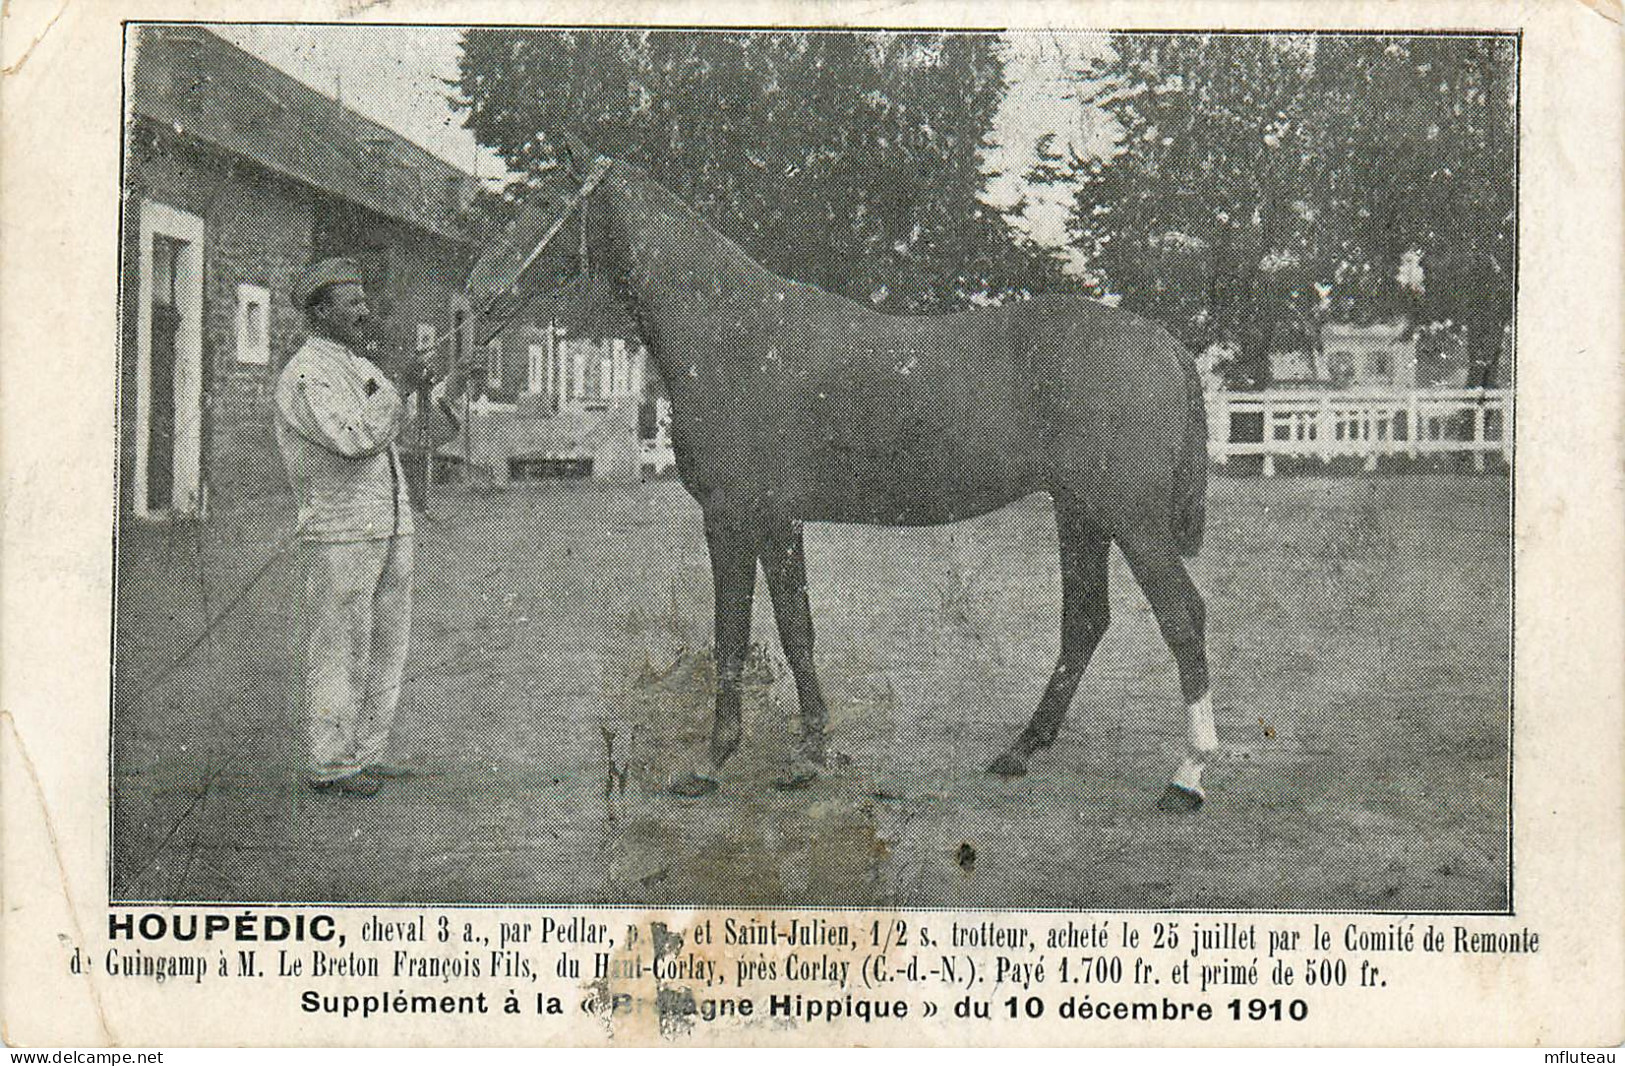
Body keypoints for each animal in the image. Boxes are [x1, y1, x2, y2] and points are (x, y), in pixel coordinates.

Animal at [487, 149, 1222, 812]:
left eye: (546, 203)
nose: (480, 296)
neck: (734, 334)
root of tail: (1164, 343)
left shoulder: (734, 517)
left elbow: (737, 633)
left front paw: (713, 763)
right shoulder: (776, 520)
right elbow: (795, 628)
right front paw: (810, 755)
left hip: (1130, 519)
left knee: (1182, 617)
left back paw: (1187, 777)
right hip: (1080, 512)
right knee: (1084, 622)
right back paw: (1021, 750)